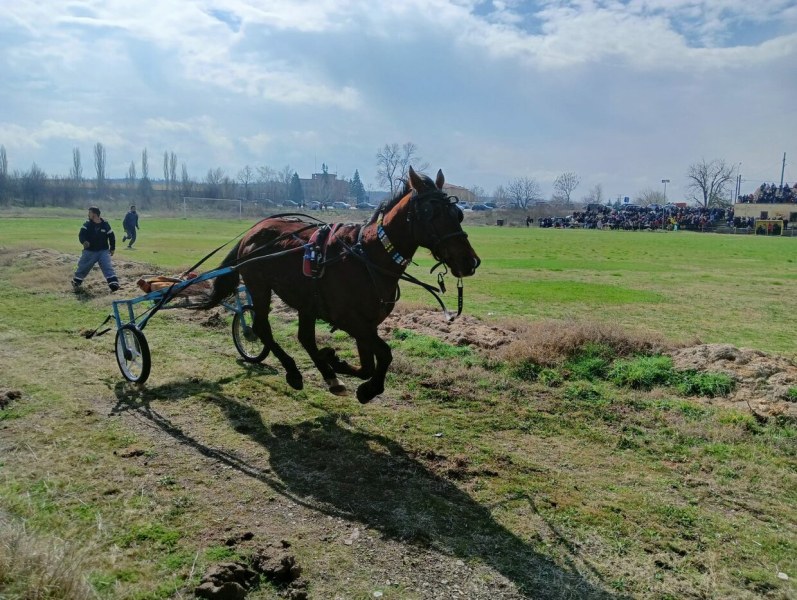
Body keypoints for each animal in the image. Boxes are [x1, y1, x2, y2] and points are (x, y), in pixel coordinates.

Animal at [196, 166, 478, 404]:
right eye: (430, 212)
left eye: (458, 213)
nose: (469, 261)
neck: (367, 256)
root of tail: (252, 231)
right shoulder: (350, 320)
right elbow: (385, 354)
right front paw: (367, 388)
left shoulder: (368, 323)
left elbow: (368, 365)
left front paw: (338, 364)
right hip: (260, 287)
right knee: (261, 328)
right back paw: (293, 371)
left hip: (306, 300)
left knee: (305, 337)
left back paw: (329, 375)